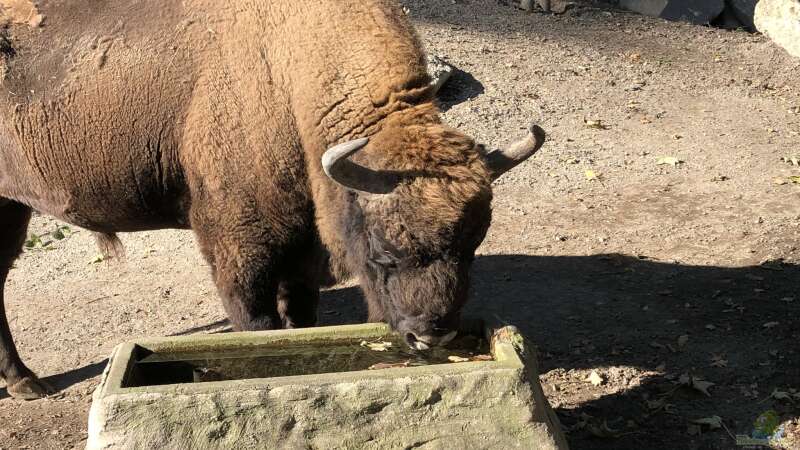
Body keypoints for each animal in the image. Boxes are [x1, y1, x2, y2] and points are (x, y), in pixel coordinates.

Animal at [0, 0, 544, 400]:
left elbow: (300, 314)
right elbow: (257, 322)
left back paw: (25, 382)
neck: (291, 73)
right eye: (383, 253)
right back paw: (27, 383)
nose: (431, 336)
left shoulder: (302, 247)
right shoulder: (240, 248)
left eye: (472, 247)